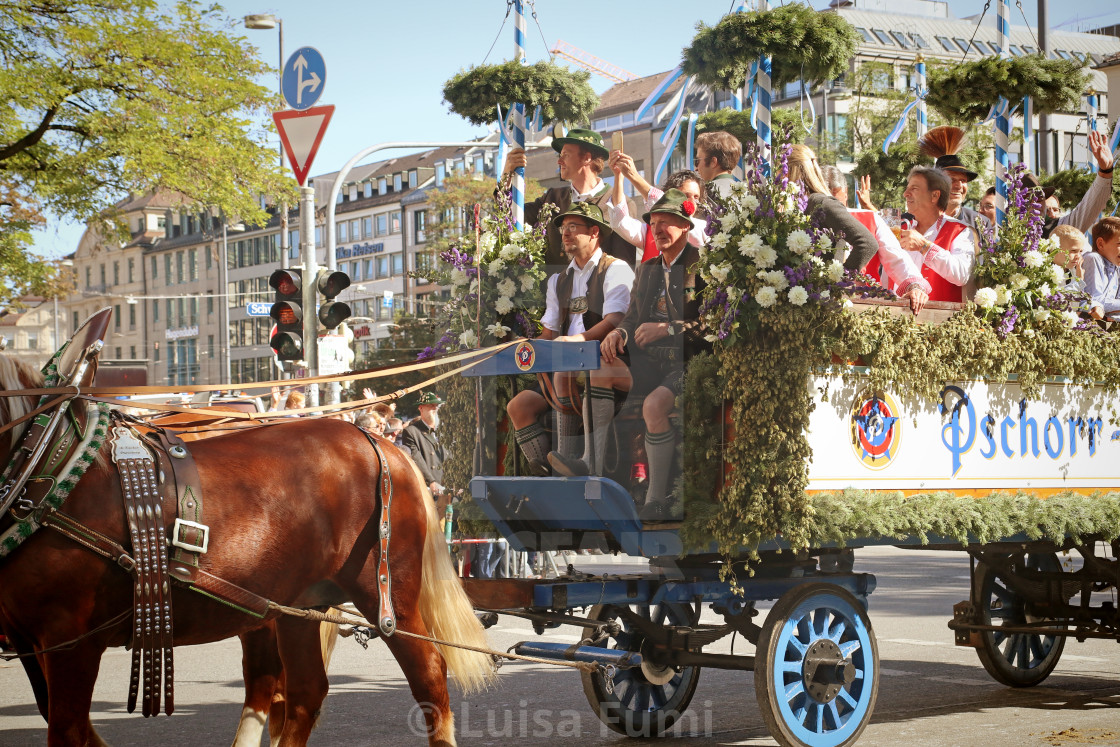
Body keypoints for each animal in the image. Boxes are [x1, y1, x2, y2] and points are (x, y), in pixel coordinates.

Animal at [0, 358, 492, 747]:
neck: (52, 470)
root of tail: (382, 445)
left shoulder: (71, 642)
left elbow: (66, 729)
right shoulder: (31, 642)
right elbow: (62, 721)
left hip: (388, 597)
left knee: (429, 675)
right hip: (299, 605)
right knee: (305, 691)